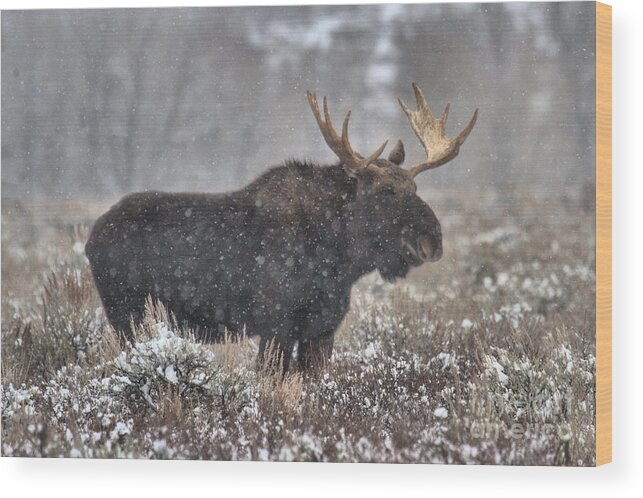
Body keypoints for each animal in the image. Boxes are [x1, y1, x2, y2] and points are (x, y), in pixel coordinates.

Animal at [85, 83, 478, 372]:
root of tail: (90, 239)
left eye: (414, 187)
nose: (432, 240)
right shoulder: (275, 325)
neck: (341, 262)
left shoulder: (322, 329)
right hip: (128, 315)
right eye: (385, 191)